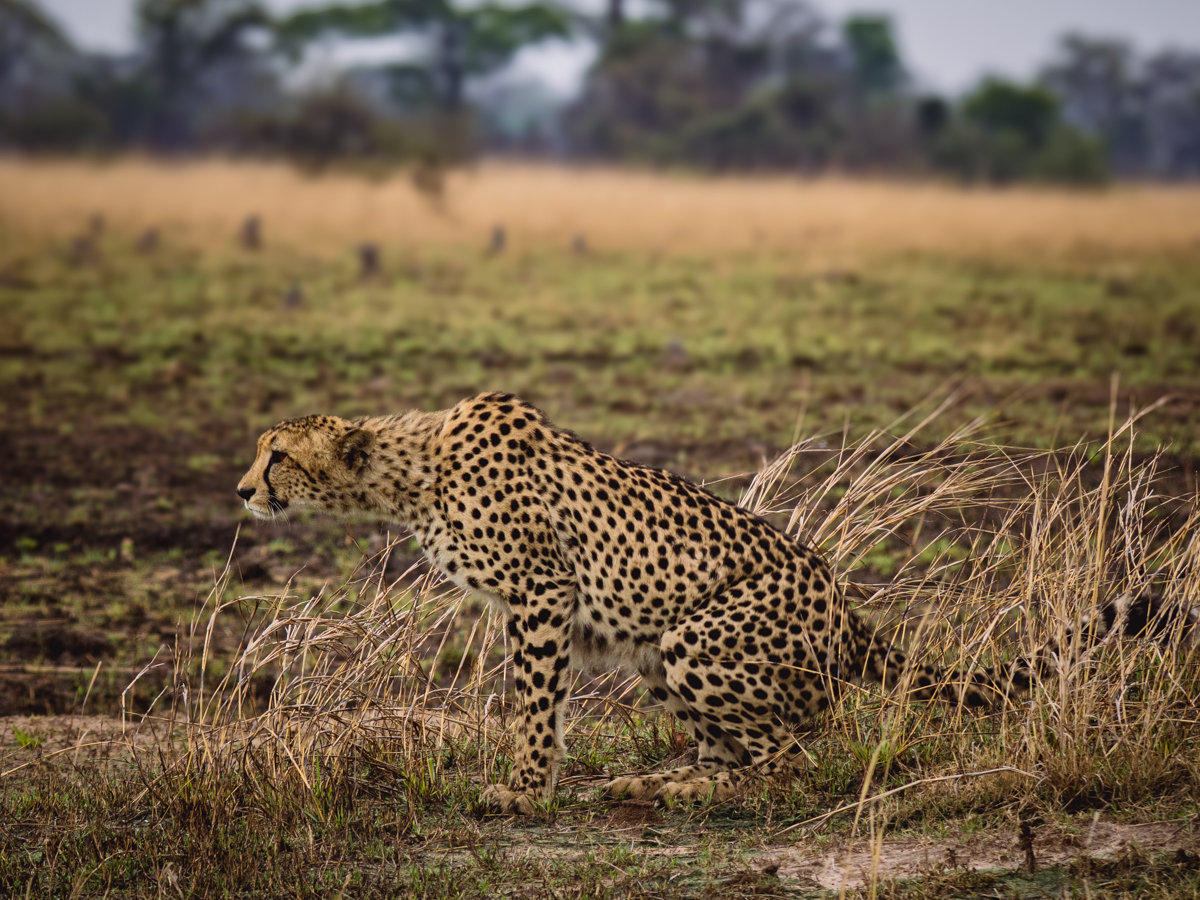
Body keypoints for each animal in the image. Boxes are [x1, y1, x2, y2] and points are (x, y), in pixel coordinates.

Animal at [235, 392, 1020, 815]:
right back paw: (656, 782)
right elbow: (534, 700)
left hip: (695, 641)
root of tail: (844, 609)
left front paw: (525, 791)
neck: (418, 476)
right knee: (731, 752)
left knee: (790, 763)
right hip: (656, 653)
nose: (243, 491)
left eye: (278, 455)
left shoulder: (542, 591)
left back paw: (690, 793)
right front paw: (536, 786)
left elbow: (535, 703)